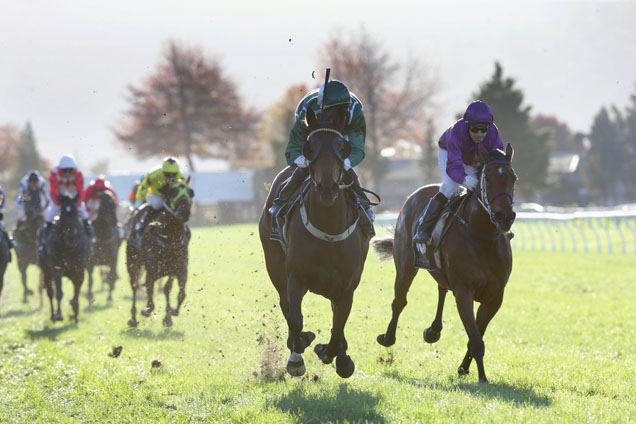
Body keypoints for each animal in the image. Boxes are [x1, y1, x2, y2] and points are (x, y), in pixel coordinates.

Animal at [258, 107, 370, 380]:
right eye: (310, 147)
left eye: (342, 146)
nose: (327, 187)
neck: (329, 227)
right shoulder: (295, 277)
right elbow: (295, 318)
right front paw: (300, 349)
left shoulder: (347, 286)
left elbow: (338, 325)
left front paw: (336, 356)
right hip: (274, 264)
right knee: (286, 307)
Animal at [372, 144, 516, 382]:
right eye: (488, 178)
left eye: (513, 177)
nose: (505, 216)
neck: (483, 236)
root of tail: (412, 196)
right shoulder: (464, 292)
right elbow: (476, 339)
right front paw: (482, 378)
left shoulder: (495, 296)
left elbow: (477, 333)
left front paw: (464, 368)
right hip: (405, 265)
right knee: (399, 301)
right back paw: (388, 338)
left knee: (441, 287)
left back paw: (433, 330)